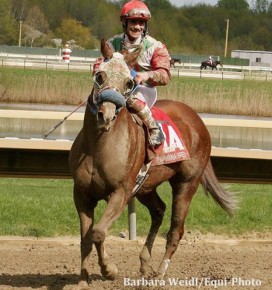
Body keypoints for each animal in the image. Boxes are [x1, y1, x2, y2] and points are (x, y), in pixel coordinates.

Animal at [68, 40, 236, 288]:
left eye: (129, 82)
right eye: (100, 75)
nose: (105, 115)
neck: (98, 146)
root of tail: (197, 119)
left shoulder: (121, 193)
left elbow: (98, 232)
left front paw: (109, 270)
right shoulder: (82, 195)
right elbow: (86, 238)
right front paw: (83, 280)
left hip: (186, 184)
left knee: (176, 230)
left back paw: (160, 274)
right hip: (146, 187)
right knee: (159, 211)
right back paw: (145, 262)